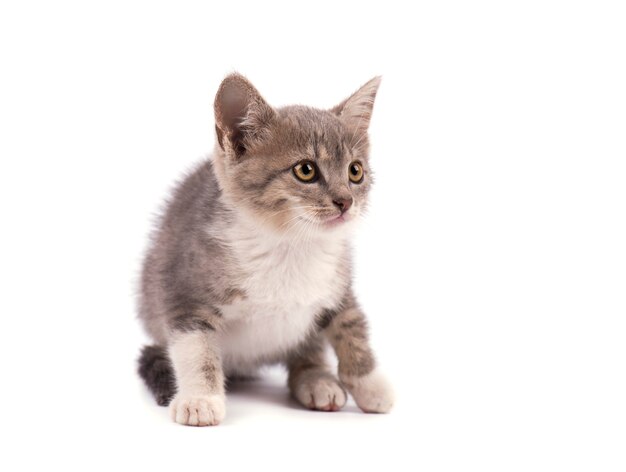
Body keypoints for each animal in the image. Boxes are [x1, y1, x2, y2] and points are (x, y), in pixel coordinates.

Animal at [136, 74, 392, 428]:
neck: (288, 244)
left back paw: (316, 379)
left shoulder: (338, 283)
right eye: (306, 170)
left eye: (356, 171)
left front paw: (372, 386)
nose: (346, 201)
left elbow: (352, 328)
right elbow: (196, 349)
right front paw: (200, 399)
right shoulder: (183, 286)